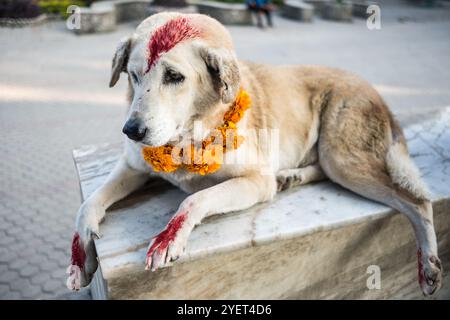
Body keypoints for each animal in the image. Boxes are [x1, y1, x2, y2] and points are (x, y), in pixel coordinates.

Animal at [67, 13, 442, 298]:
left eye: (174, 76)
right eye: (133, 74)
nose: (131, 130)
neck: (190, 135)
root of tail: (375, 91)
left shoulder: (256, 181)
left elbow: (194, 199)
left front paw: (169, 237)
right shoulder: (132, 167)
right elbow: (87, 205)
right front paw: (80, 257)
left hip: (343, 158)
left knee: (417, 202)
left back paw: (429, 264)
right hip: (334, 159)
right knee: (320, 168)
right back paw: (291, 176)